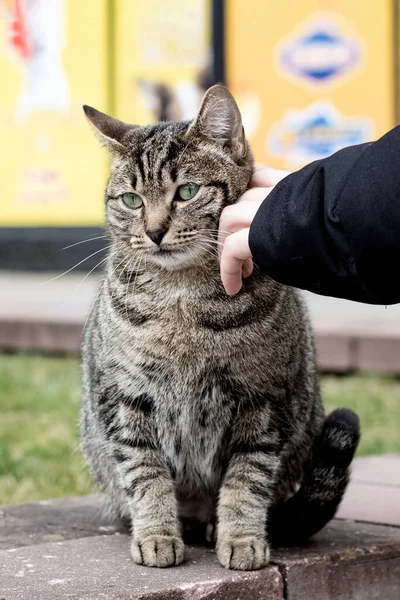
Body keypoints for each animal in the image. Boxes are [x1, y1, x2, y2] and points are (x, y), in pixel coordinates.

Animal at [80, 83, 360, 568]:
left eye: (187, 192)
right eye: (132, 200)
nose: (154, 231)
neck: (182, 298)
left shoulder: (263, 404)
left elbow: (246, 482)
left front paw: (242, 539)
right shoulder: (124, 400)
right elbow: (145, 474)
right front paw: (156, 535)